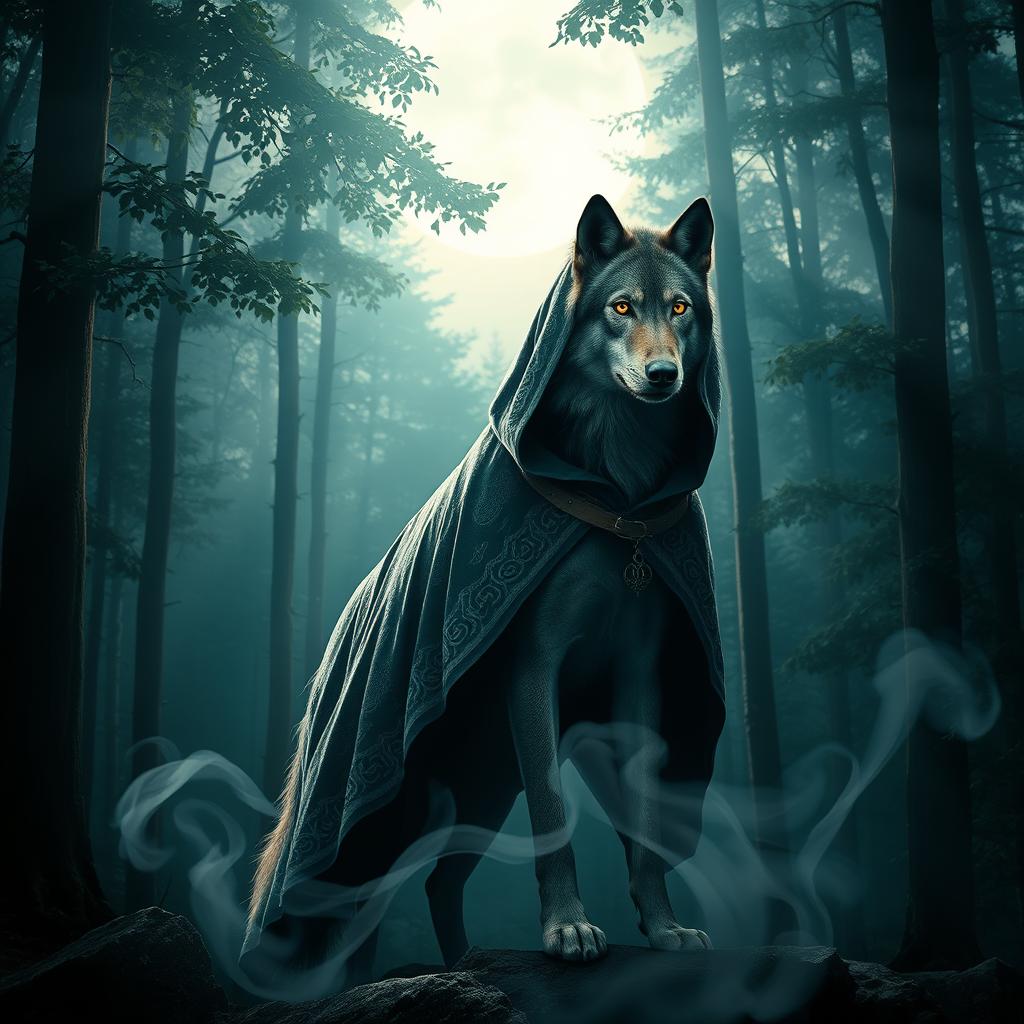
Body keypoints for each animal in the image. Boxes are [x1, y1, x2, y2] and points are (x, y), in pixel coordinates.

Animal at [245, 194, 722, 982]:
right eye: (621, 307)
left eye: (680, 307)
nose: (662, 375)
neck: (618, 500)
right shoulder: (534, 668)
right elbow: (555, 820)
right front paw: (568, 931)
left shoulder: (637, 678)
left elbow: (647, 830)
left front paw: (663, 929)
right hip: (392, 805)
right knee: (361, 901)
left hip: (480, 786)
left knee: (439, 879)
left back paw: (463, 960)